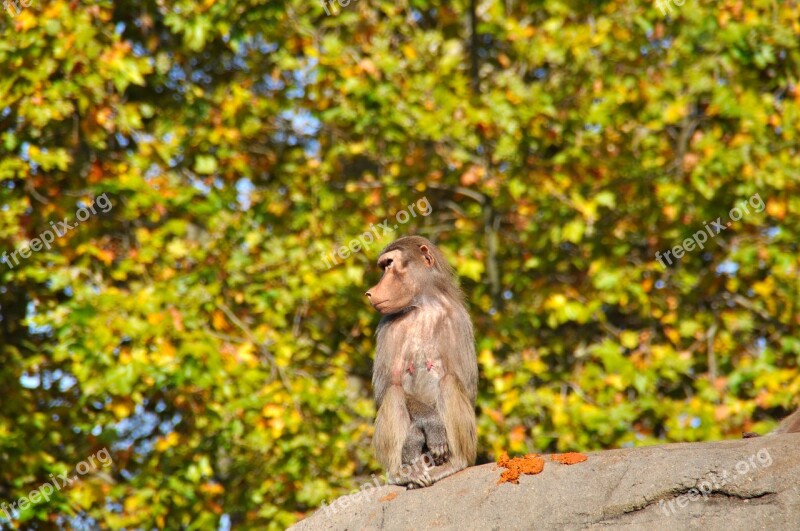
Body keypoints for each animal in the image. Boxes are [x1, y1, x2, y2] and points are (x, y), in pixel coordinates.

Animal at [366, 237, 478, 490]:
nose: (369, 293)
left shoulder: (458, 318)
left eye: (389, 264)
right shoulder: (387, 325)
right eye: (383, 266)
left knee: (449, 382)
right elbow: (386, 387)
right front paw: (421, 431)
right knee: (394, 393)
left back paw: (455, 463)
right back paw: (402, 473)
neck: (423, 307)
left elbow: (466, 388)